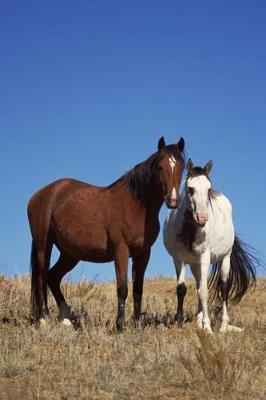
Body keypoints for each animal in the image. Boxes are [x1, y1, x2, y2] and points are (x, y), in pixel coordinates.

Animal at [27, 136, 185, 330]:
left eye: (181, 167)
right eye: (160, 167)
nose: (173, 200)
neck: (135, 205)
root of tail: (39, 195)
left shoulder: (143, 254)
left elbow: (138, 290)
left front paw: (137, 324)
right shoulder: (121, 251)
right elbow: (122, 288)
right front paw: (120, 325)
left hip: (70, 254)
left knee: (52, 277)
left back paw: (66, 318)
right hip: (43, 245)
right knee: (40, 278)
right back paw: (43, 319)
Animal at [163, 159, 256, 334]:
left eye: (208, 189)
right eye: (190, 188)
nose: (202, 218)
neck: (190, 230)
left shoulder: (204, 257)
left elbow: (205, 291)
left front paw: (208, 327)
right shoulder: (178, 258)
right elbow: (182, 289)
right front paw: (179, 322)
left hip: (224, 258)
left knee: (224, 287)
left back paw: (223, 326)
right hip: (195, 265)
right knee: (199, 284)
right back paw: (199, 321)